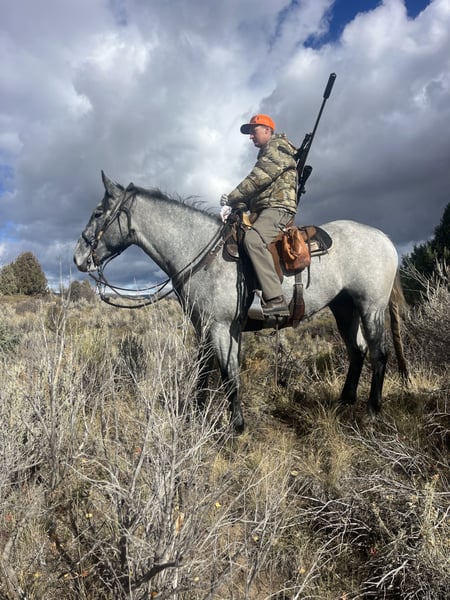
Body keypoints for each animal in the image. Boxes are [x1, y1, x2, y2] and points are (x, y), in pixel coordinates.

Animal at [74, 171, 408, 433]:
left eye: (98, 212)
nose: (78, 257)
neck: (201, 253)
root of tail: (384, 238)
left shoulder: (222, 327)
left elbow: (228, 375)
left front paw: (236, 427)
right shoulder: (206, 328)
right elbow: (204, 374)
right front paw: (196, 417)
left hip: (371, 306)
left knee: (379, 353)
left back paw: (372, 411)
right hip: (344, 308)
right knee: (357, 351)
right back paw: (344, 402)